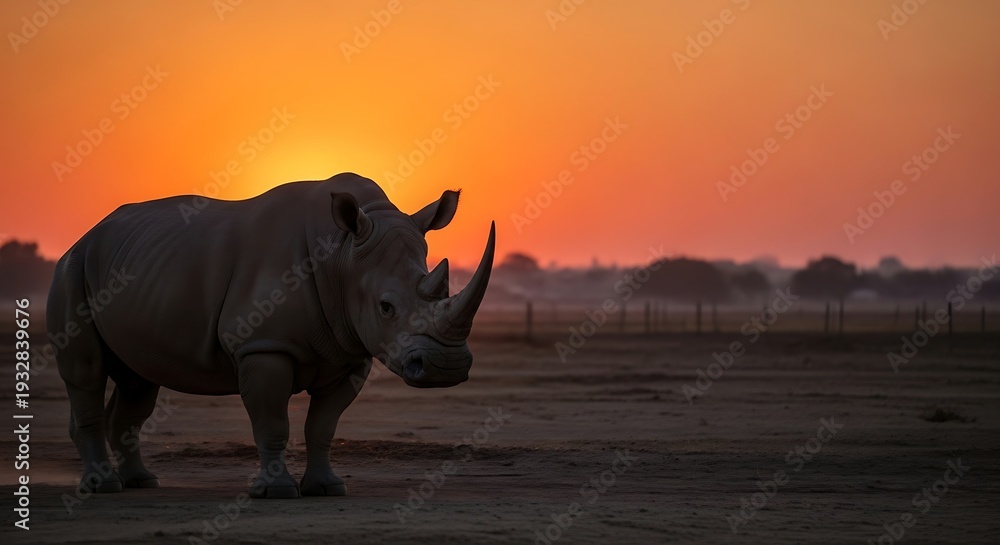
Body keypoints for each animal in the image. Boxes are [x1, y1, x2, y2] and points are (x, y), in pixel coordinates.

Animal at [46, 173, 495, 498]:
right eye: (386, 307)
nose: (446, 367)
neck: (342, 255)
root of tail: (90, 232)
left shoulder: (350, 353)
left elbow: (323, 426)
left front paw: (327, 488)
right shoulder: (263, 347)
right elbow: (272, 420)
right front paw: (276, 492)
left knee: (138, 382)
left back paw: (142, 482)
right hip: (72, 268)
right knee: (86, 373)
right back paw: (103, 487)